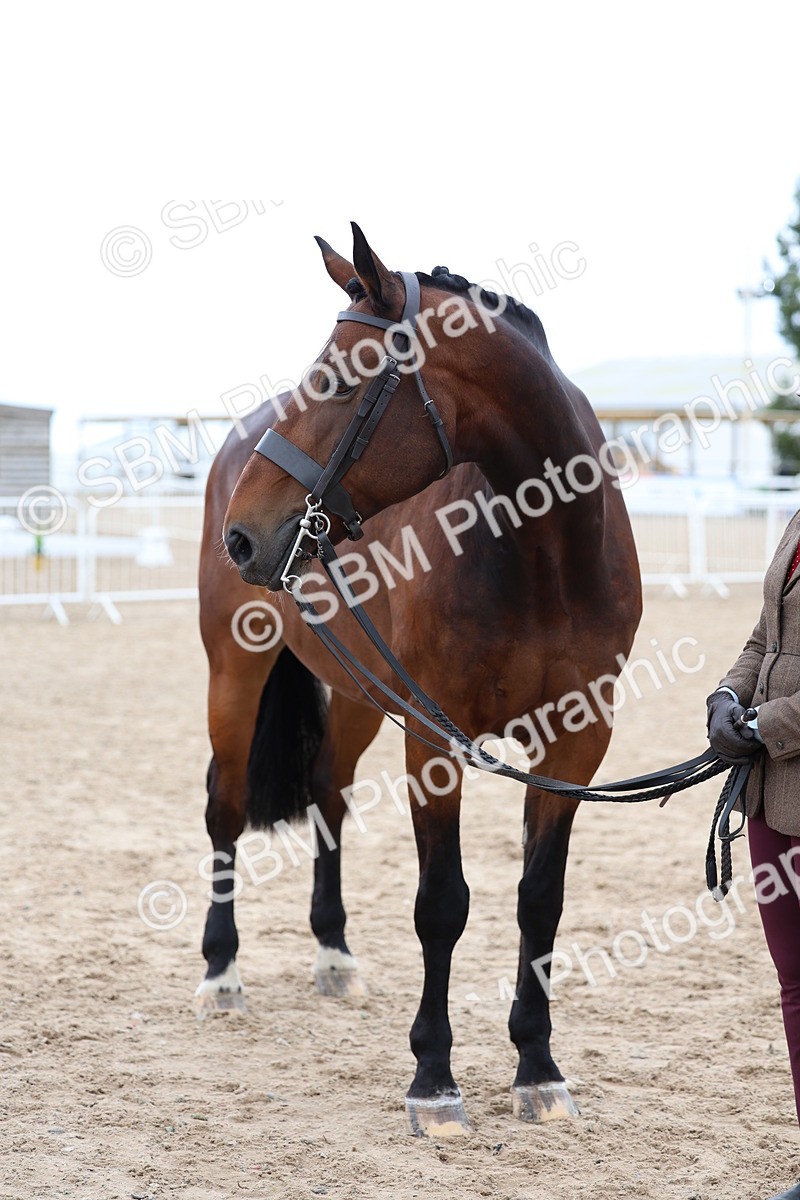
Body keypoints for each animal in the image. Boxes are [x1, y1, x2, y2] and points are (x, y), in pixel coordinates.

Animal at [197, 223, 642, 1135]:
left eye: (338, 381)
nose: (244, 536)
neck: (546, 556)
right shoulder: (438, 742)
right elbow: (442, 903)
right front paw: (434, 1080)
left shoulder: (577, 742)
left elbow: (539, 898)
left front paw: (539, 1068)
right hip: (236, 670)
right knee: (224, 804)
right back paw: (221, 973)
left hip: (362, 694)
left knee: (327, 792)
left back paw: (334, 955)